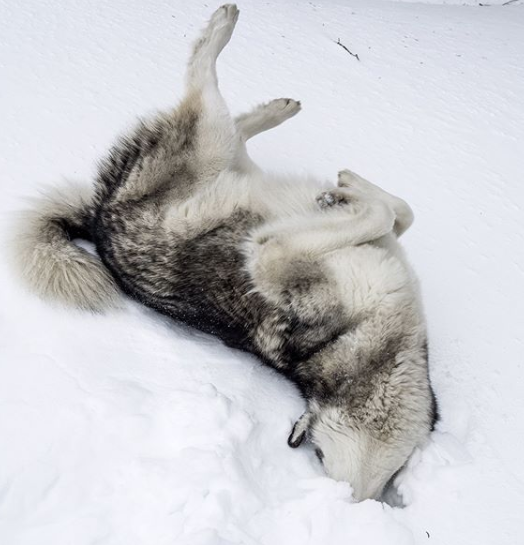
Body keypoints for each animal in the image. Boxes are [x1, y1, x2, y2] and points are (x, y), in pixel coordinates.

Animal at [14, 6, 436, 502]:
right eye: (319, 455)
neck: (369, 345)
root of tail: (97, 219)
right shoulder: (274, 254)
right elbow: (392, 213)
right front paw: (346, 191)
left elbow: (396, 214)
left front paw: (346, 193)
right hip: (210, 147)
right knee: (205, 83)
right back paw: (227, 33)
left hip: (212, 150)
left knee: (224, 117)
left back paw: (269, 107)